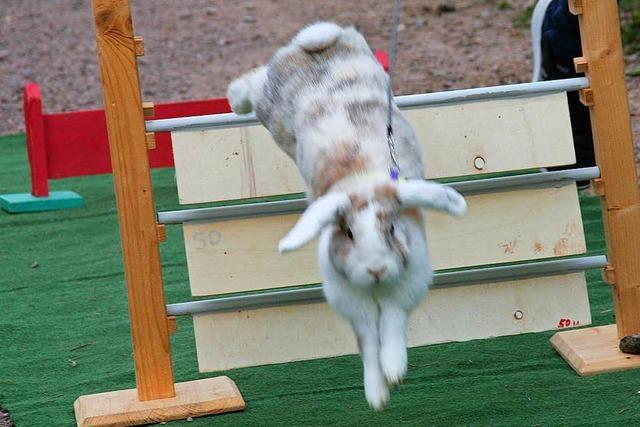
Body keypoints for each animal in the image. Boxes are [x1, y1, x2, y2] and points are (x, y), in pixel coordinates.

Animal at [228, 21, 468, 410]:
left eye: (391, 229)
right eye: (349, 233)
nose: (376, 269)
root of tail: (316, 45)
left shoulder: (404, 290)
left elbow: (392, 328)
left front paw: (394, 371)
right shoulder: (355, 307)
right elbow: (368, 345)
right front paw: (377, 394)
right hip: (272, 109)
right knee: (254, 80)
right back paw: (235, 101)